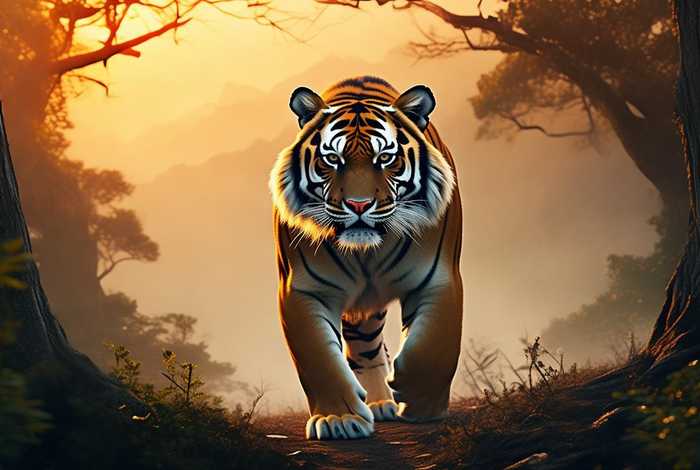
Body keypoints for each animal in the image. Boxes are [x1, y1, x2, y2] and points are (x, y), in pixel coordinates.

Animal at [269, 76, 463, 440]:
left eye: (385, 157)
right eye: (332, 159)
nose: (358, 205)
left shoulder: (439, 277)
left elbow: (434, 346)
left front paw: (420, 402)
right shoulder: (303, 289)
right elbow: (318, 359)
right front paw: (338, 420)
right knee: (363, 348)